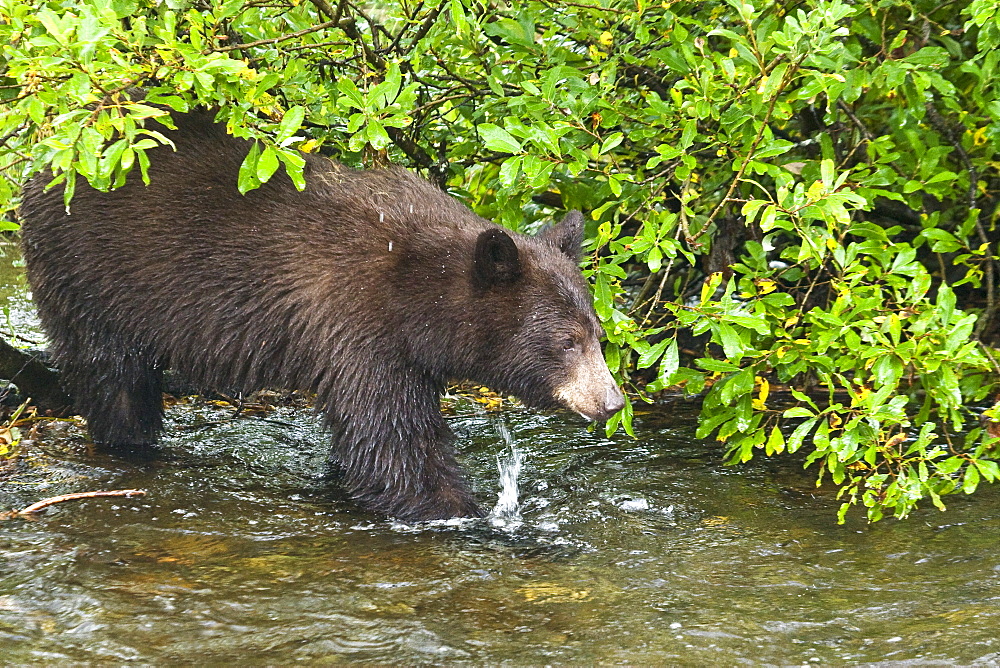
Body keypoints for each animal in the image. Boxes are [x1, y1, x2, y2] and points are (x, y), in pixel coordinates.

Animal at [19, 109, 620, 520]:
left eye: (597, 333)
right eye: (567, 341)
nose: (612, 401)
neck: (419, 294)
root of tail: (46, 160)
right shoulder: (359, 327)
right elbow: (392, 442)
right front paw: (460, 512)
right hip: (92, 279)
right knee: (112, 375)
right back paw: (131, 444)